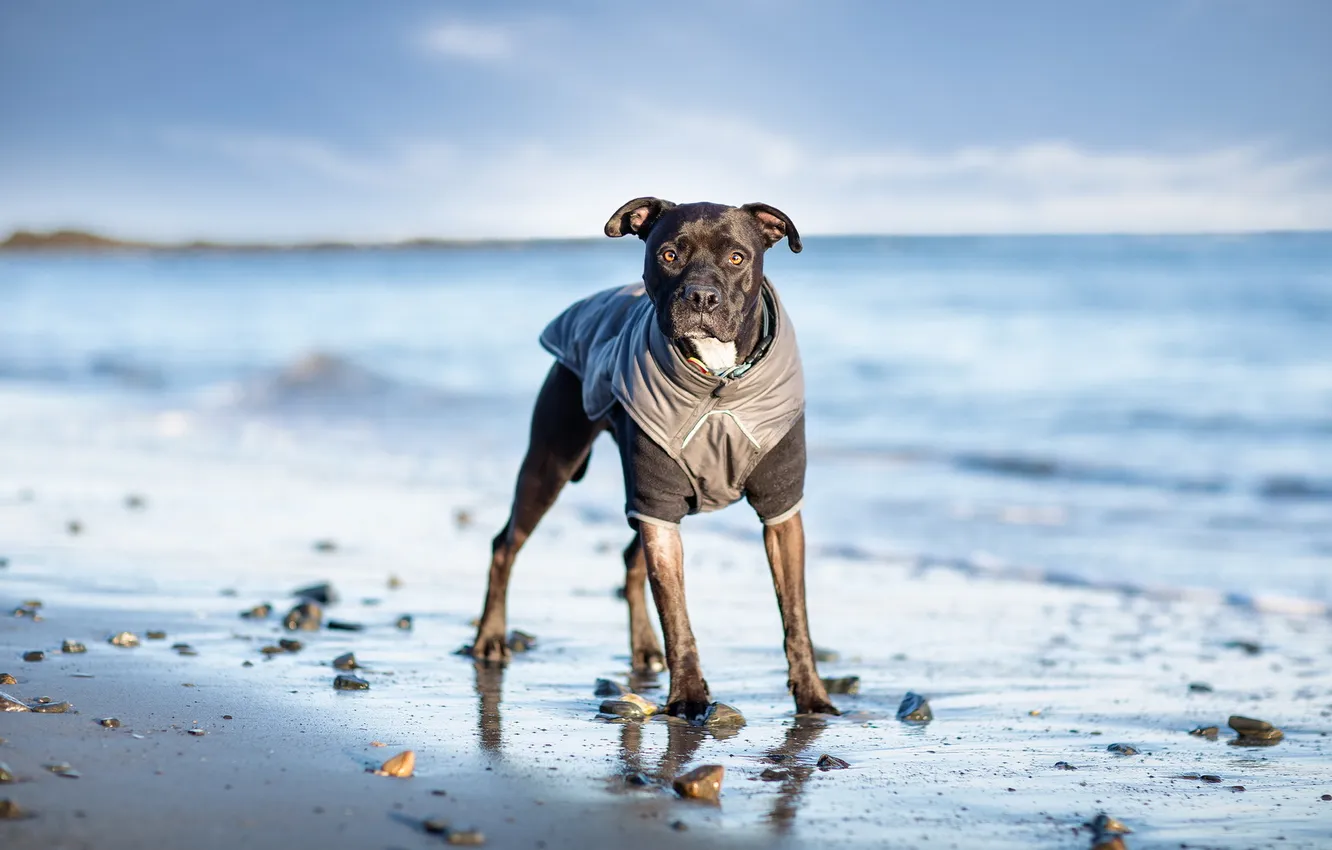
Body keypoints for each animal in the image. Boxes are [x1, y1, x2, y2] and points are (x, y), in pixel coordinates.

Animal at [468, 198, 836, 719]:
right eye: (669, 255)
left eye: (737, 258)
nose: (701, 297)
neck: (717, 386)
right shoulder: (657, 501)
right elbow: (676, 613)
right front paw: (688, 697)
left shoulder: (780, 507)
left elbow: (796, 615)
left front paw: (812, 695)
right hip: (551, 463)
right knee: (506, 545)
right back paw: (490, 638)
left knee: (628, 560)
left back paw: (643, 650)